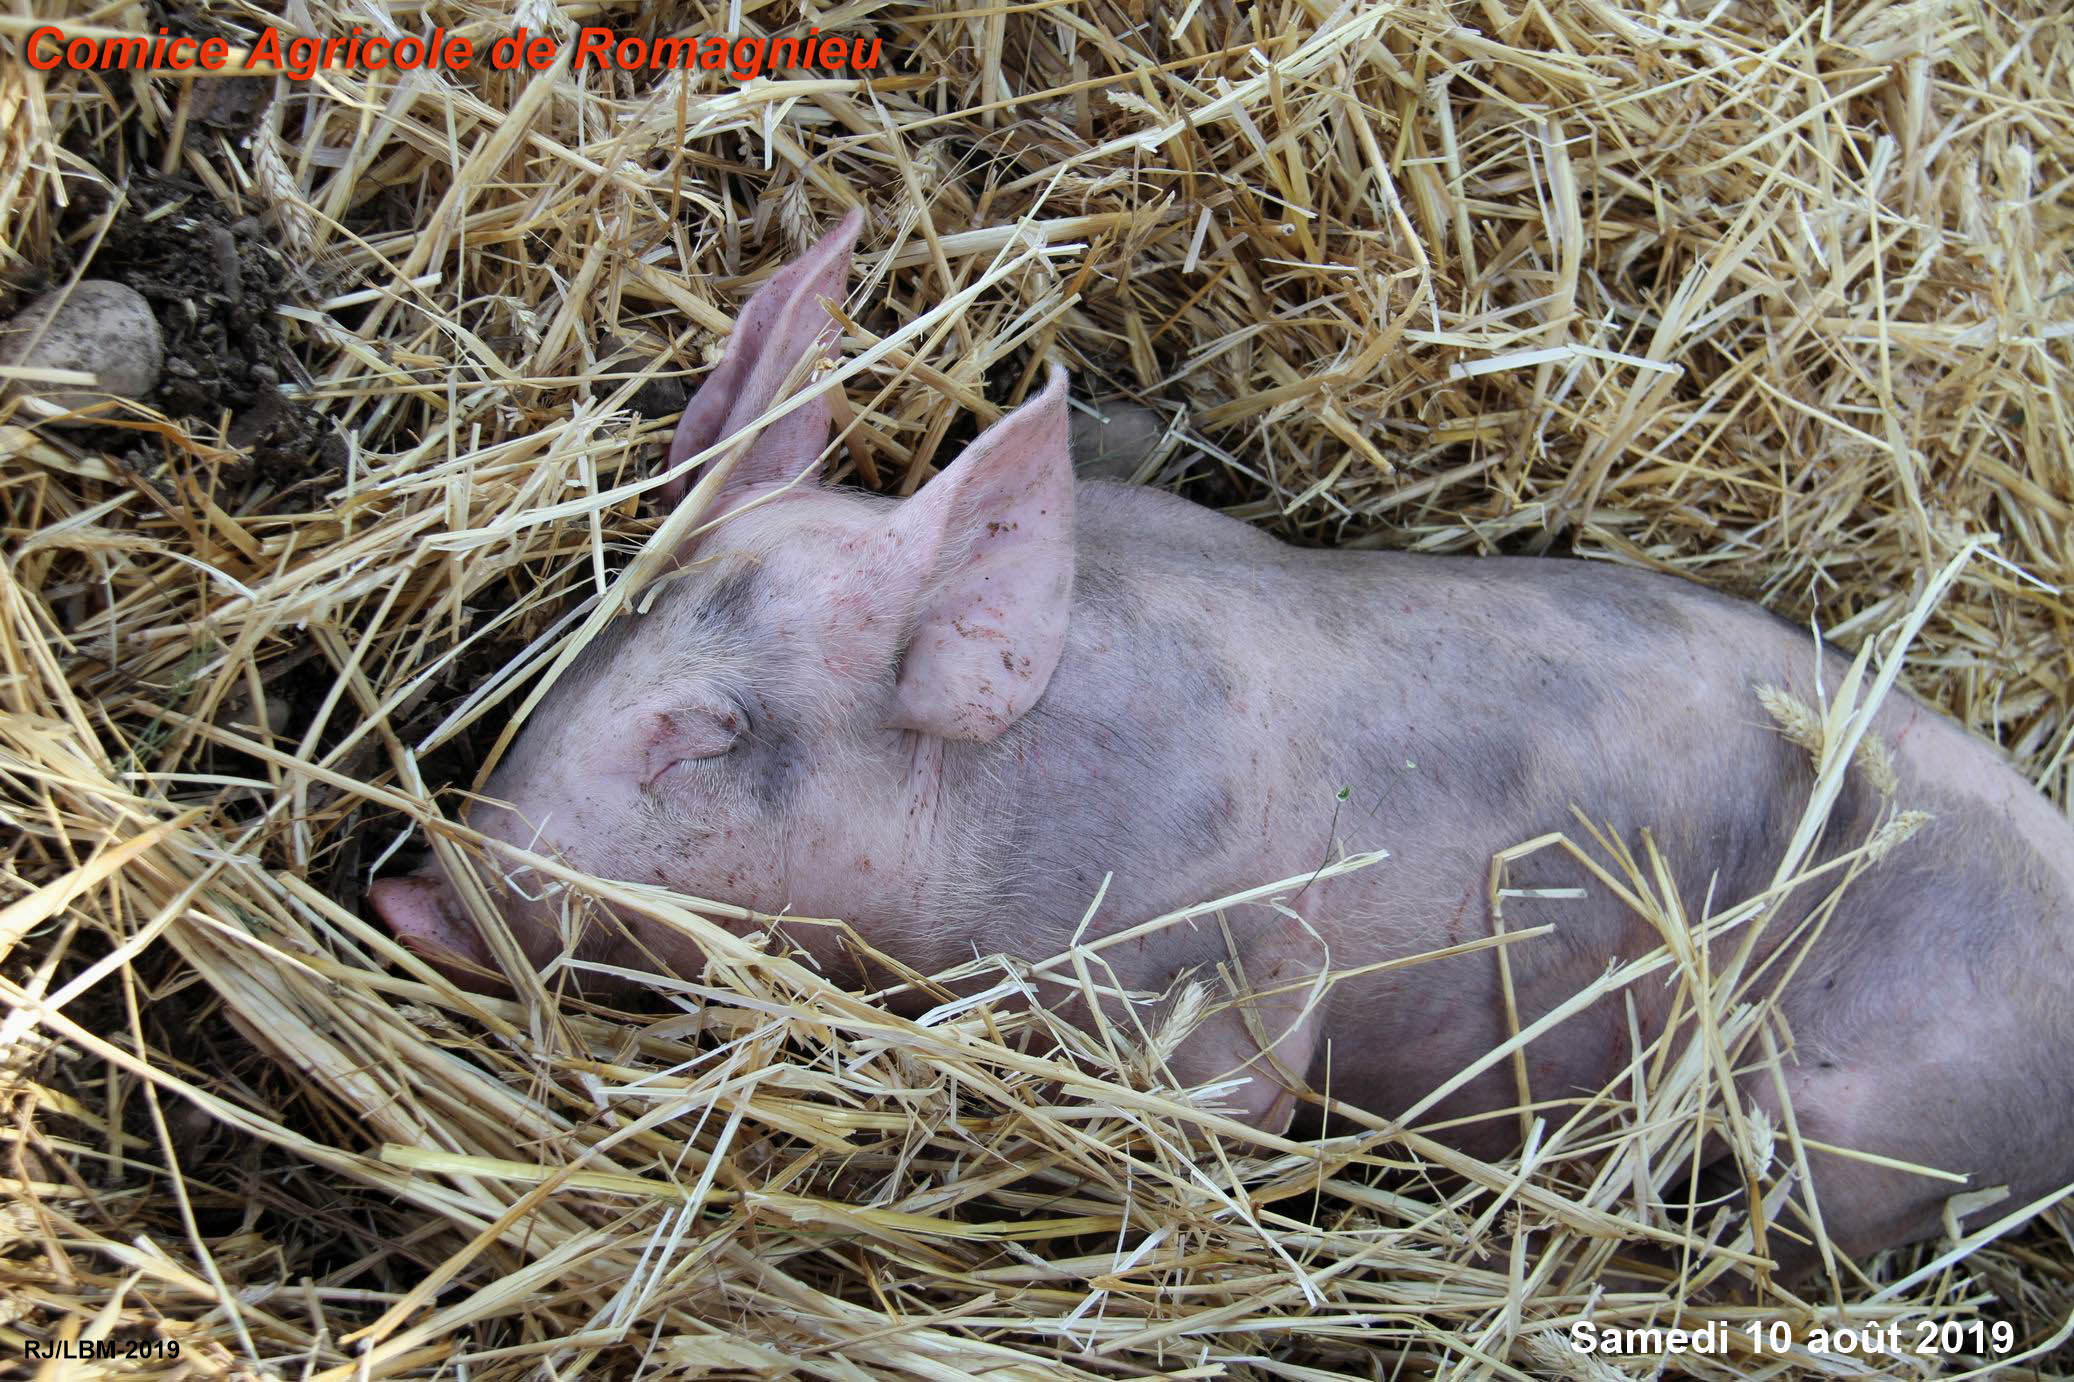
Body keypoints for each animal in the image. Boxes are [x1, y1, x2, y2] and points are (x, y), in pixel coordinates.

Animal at [370, 211, 2074, 1278]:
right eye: (587, 645)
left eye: (704, 732)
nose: (403, 889)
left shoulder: (1214, 988)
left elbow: (1239, 1105)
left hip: (1859, 1126)